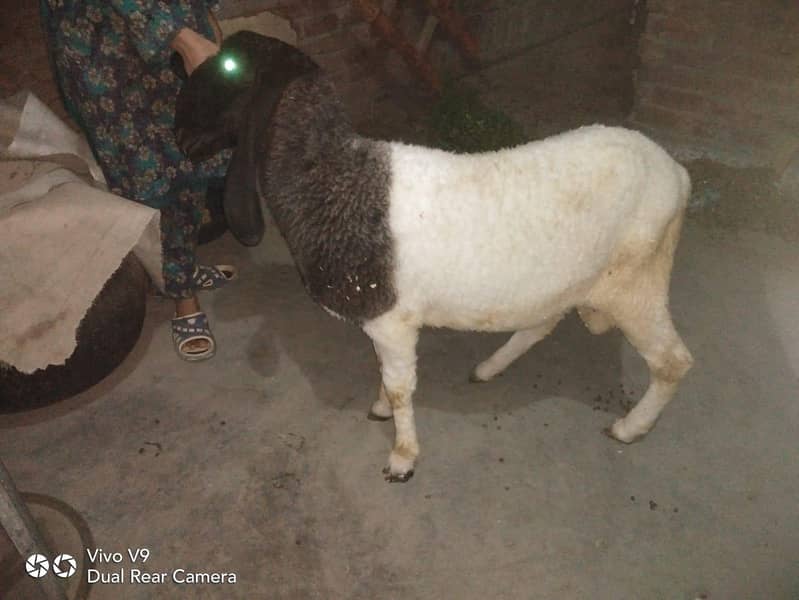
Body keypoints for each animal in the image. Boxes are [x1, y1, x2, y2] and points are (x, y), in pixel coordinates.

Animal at [182, 69, 694, 482]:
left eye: (229, 76)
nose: (183, 141)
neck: (339, 185)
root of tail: (675, 171)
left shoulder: (392, 321)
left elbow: (400, 386)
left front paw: (402, 456)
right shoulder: (384, 325)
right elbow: (386, 375)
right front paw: (381, 409)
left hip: (635, 282)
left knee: (673, 361)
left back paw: (630, 427)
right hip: (571, 280)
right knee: (543, 323)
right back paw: (490, 367)